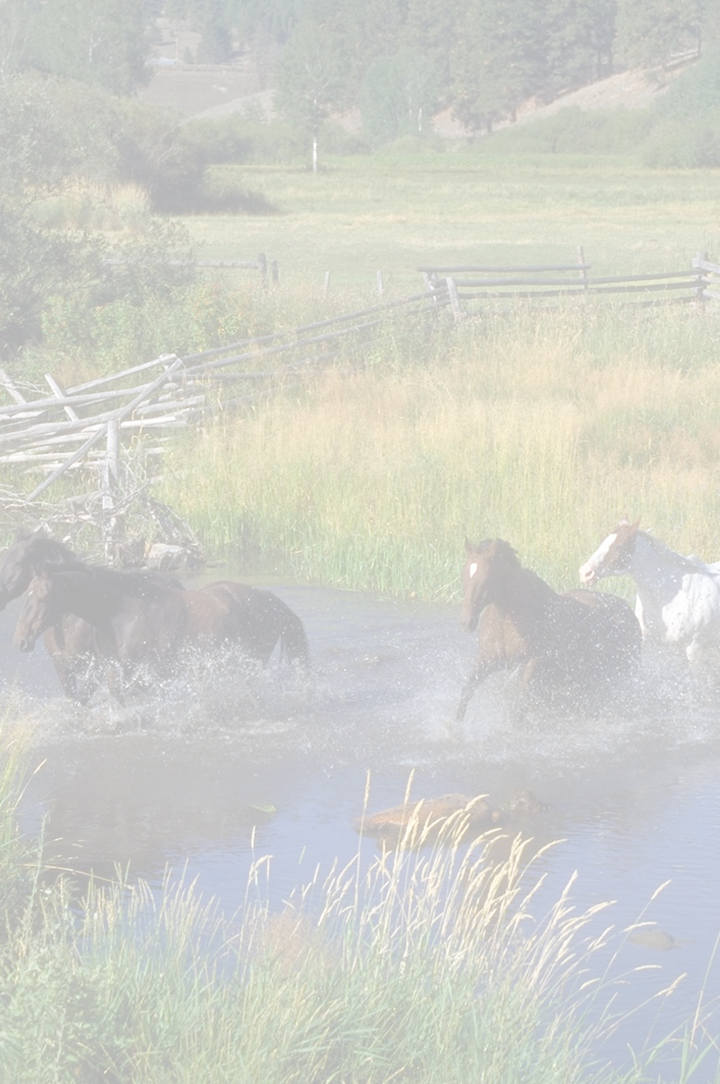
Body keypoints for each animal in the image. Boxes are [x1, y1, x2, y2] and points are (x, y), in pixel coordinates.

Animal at [13, 565, 310, 704]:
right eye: (24, 596)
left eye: (41, 597)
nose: (20, 640)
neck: (125, 611)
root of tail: (268, 599)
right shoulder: (111, 666)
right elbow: (111, 695)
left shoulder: (148, 671)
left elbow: (129, 695)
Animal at [457, 537, 642, 722]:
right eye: (464, 575)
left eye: (486, 578)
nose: (467, 622)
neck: (508, 618)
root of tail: (629, 613)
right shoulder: (486, 659)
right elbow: (466, 692)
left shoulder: (533, 663)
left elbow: (520, 707)